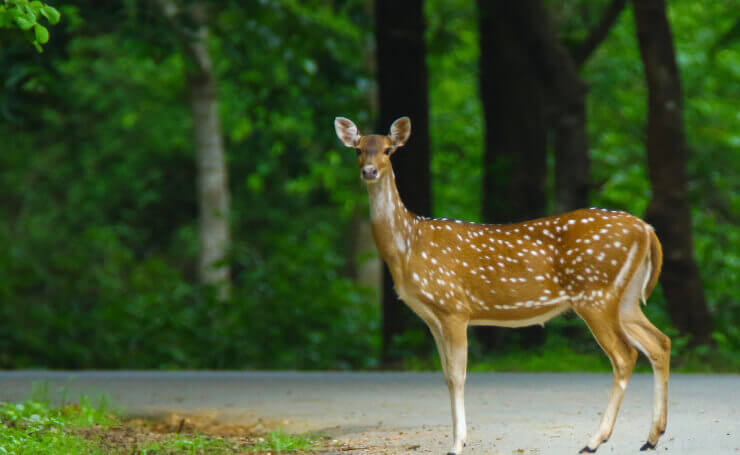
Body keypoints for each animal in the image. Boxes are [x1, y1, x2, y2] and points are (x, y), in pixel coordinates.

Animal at [336, 116, 672, 452]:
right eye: (358, 150)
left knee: (625, 356)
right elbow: (445, 376)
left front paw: (458, 443)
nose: (370, 171)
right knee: (660, 342)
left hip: (595, 294)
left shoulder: (453, 307)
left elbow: (458, 376)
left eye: (388, 150)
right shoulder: (432, 317)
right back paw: (651, 437)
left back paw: (595, 440)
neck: (407, 247)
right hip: (625, 298)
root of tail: (646, 229)